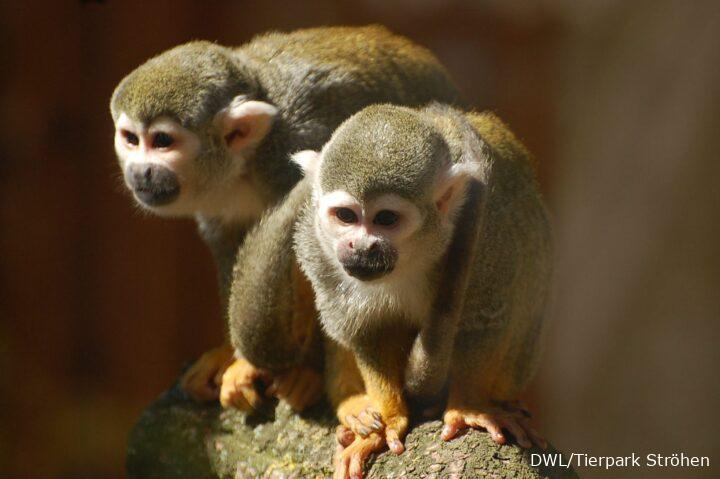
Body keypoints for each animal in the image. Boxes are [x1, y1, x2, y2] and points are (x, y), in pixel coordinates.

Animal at [111, 24, 462, 404]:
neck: (248, 160)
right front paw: (231, 354)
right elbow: (231, 245)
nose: (141, 171)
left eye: (162, 141)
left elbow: (315, 257)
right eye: (131, 139)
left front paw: (302, 371)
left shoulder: (297, 148)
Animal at [292, 103, 552, 478]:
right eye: (345, 216)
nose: (360, 246)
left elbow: (484, 318)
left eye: (386, 219)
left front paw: (468, 405)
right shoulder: (319, 249)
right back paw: (354, 405)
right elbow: (367, 331)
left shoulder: (486, 233)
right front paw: (388, 418)